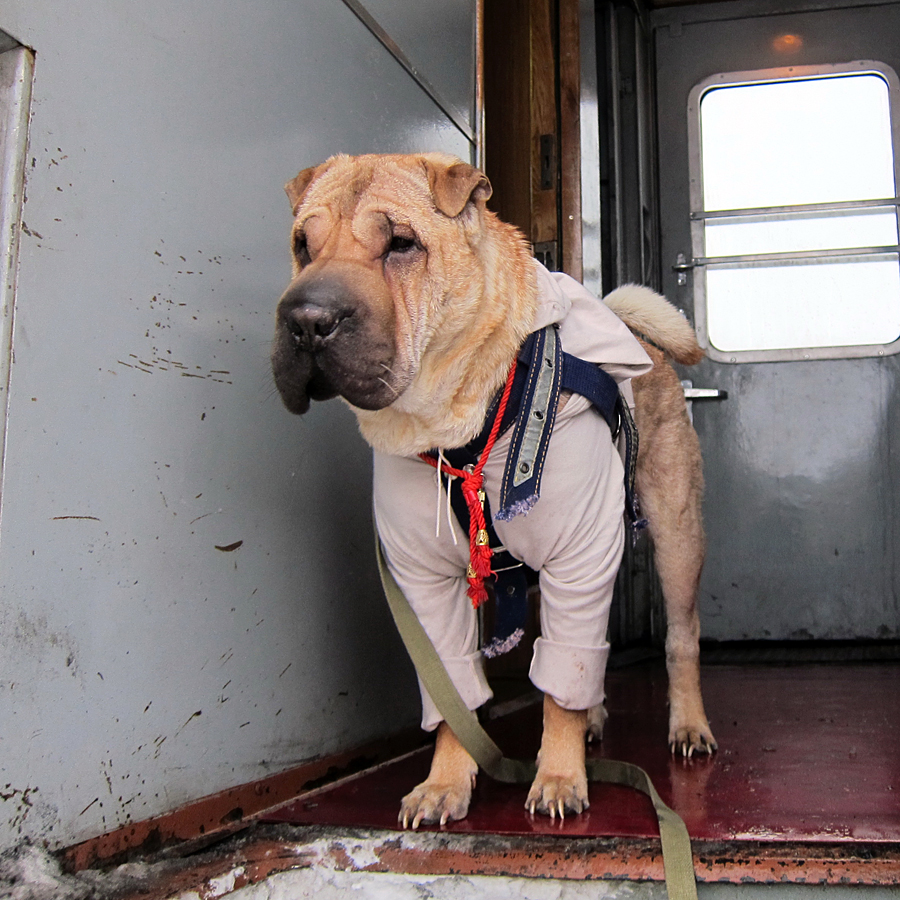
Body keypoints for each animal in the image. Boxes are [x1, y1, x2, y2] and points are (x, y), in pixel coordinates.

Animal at [271, 152, 716, 828]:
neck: (458, 427)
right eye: (303, 245)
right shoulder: (425, 581)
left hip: (676, 534)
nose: (306, 320)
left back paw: (687, 726)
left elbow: (563, 680)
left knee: (679, 640)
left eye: (400, 244)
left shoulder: (577, 554)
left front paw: (558, 777)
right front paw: (445, 783)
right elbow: (454, 687)